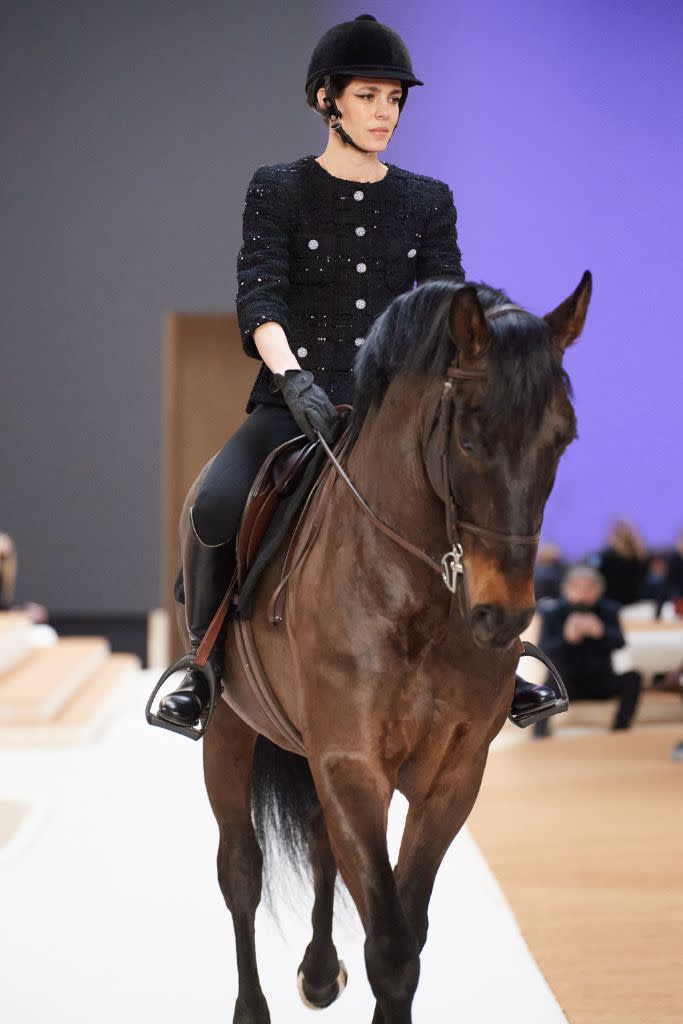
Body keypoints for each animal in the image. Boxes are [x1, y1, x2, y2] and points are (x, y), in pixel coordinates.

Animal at [181, 274, 593, 1024]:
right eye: (468, 435)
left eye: (562, 437)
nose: (501, 613)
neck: (415, 594)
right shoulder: (352, 762)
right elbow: (392, 946)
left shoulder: (452, 774)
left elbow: (406, 928)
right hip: (228, 727)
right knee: (241, 870)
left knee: (318, 844)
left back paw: (319, 973)